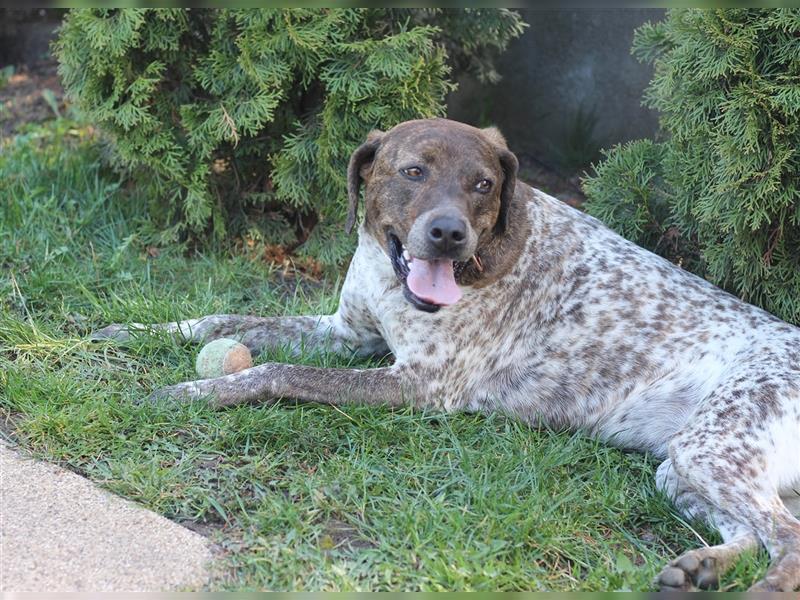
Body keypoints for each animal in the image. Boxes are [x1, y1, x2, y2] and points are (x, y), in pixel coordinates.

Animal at [95, 117, 800, 592]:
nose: (448, 233)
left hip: (711, 447)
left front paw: (192, 392)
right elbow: (221, 321)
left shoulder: (421, 384)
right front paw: (131, 330)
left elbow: (273, 371)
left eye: (483, 184)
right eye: (413, 171)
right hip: (681, 469)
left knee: (787, 540)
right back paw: (699, 566)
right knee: (758, 532)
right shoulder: (345, 333)